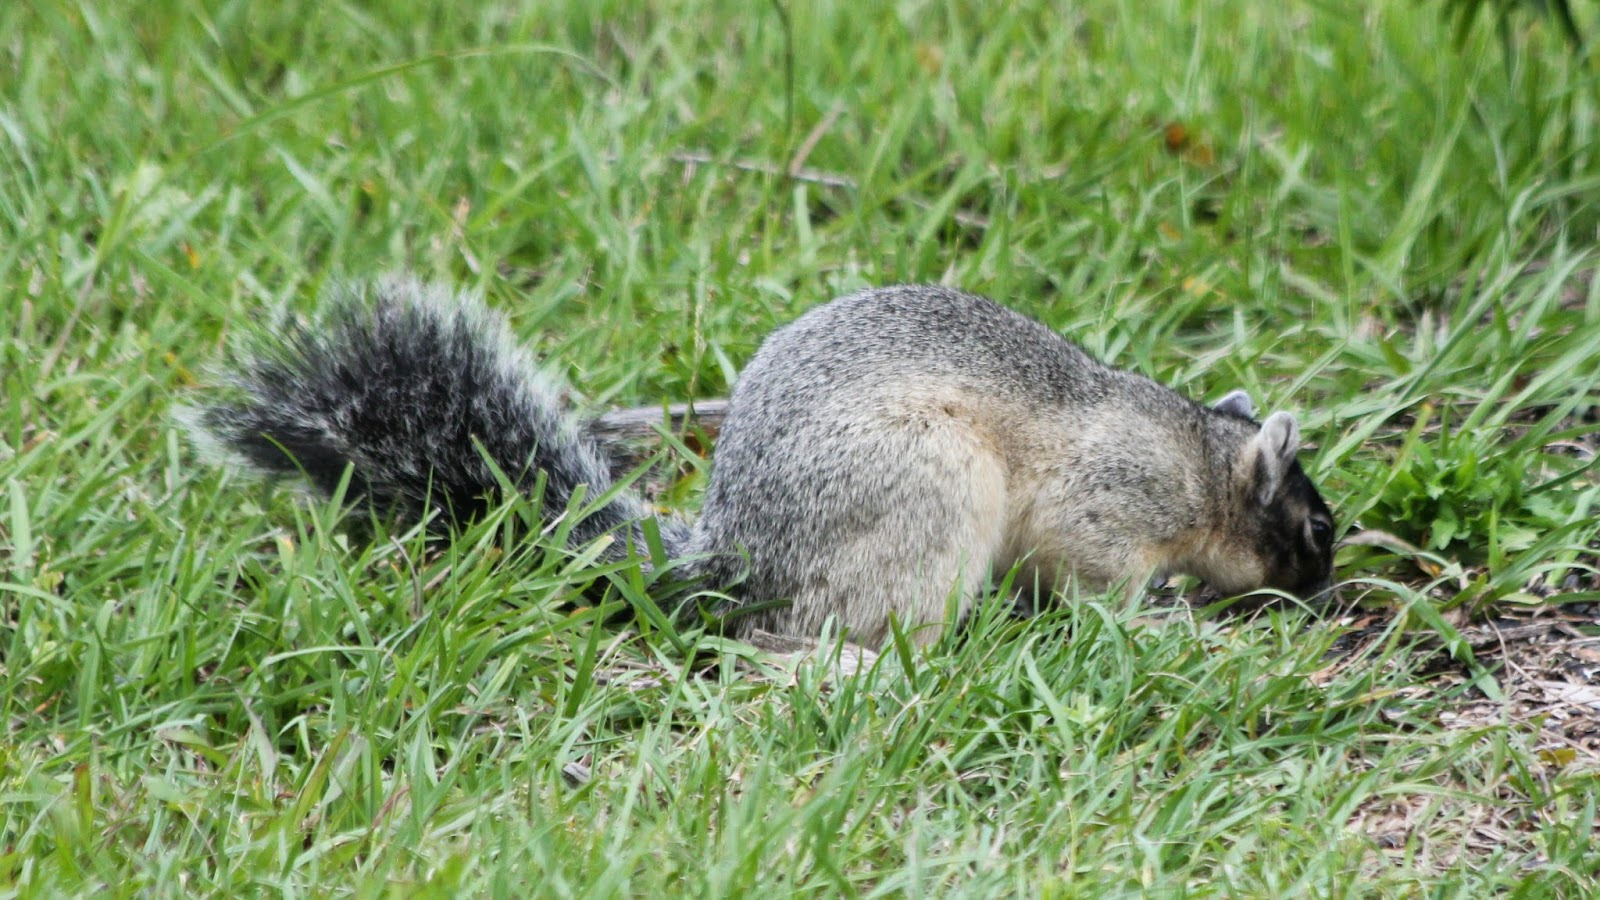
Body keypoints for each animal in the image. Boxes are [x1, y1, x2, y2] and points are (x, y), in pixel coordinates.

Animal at [184, 277, 1336, 646]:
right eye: (1317, 528)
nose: (1325, 596)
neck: (1198, 460)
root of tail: (740, 558)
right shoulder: (1109, 508)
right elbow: (1101, 584)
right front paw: (1174, 626)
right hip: (926, 490)